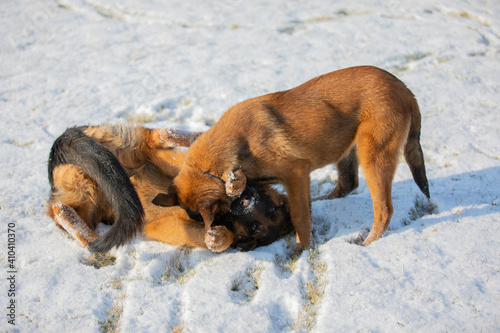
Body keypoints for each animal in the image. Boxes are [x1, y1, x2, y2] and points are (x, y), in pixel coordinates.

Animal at [46, 124, 292, 252]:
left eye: (255, 228)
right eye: (271, 209)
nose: (245, 202)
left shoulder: (163, 227)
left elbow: (219, 237)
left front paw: (220, 237)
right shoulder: (172, 167)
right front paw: (234, 181)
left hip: (90, 198)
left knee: (62, 211)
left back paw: (88, 235)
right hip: (134, 151)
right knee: (159, 135)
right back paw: (200, 135)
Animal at [159, 65, 430, 248]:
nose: (213, 230)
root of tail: (406, 90)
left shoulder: (296, 174)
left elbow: (300, 217)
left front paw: (302, 250)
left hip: (373, 156)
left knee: (383, 210)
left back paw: (367, 244)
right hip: (346, 148)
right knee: (347, 184)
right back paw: (324, 200)